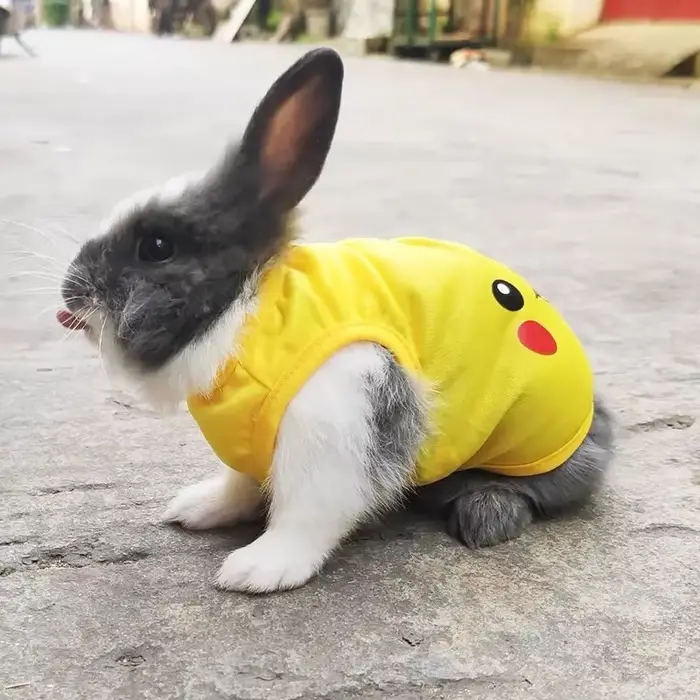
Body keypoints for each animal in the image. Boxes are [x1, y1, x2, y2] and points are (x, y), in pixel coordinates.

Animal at [57, 48, 614, 594]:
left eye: (156, 246)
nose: (69, 292)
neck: (246, 314)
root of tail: (598, 420)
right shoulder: (250, 440)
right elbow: (238, 483)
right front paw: (198, 507)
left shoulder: (337, 425)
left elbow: (306, 514)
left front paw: (258, 569)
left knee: (543, 490)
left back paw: (488, 511)